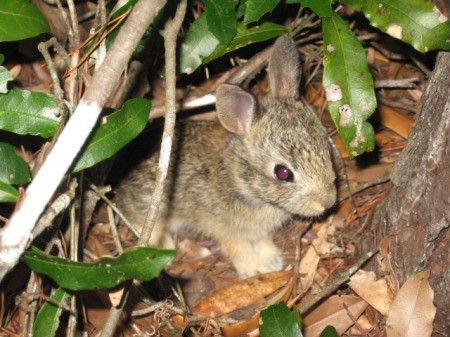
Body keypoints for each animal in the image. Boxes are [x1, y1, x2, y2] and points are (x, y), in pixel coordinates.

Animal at [114, 34, 336, 276]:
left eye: (326, 145)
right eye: (283, 173)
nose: (328, 202)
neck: (237, 179)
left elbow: (262, 240)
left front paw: (271, 259)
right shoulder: (223, 229)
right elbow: (236, 247)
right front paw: (254, 269)